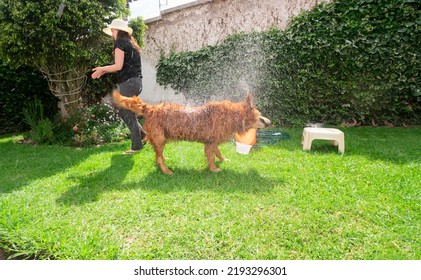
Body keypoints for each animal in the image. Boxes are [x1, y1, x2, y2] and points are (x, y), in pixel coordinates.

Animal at [112, 91, 270, 174]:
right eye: (260, 115)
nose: (269, 122)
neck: (231, 115)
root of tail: (151, 108)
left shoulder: (212, 141)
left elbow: (218, 152)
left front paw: (223, 160)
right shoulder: (210, 142)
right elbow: (211, 157)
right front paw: (214, 169)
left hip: (161, 139)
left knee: (158, 155)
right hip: (160, 138)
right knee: (158, 157)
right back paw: (166, 170)